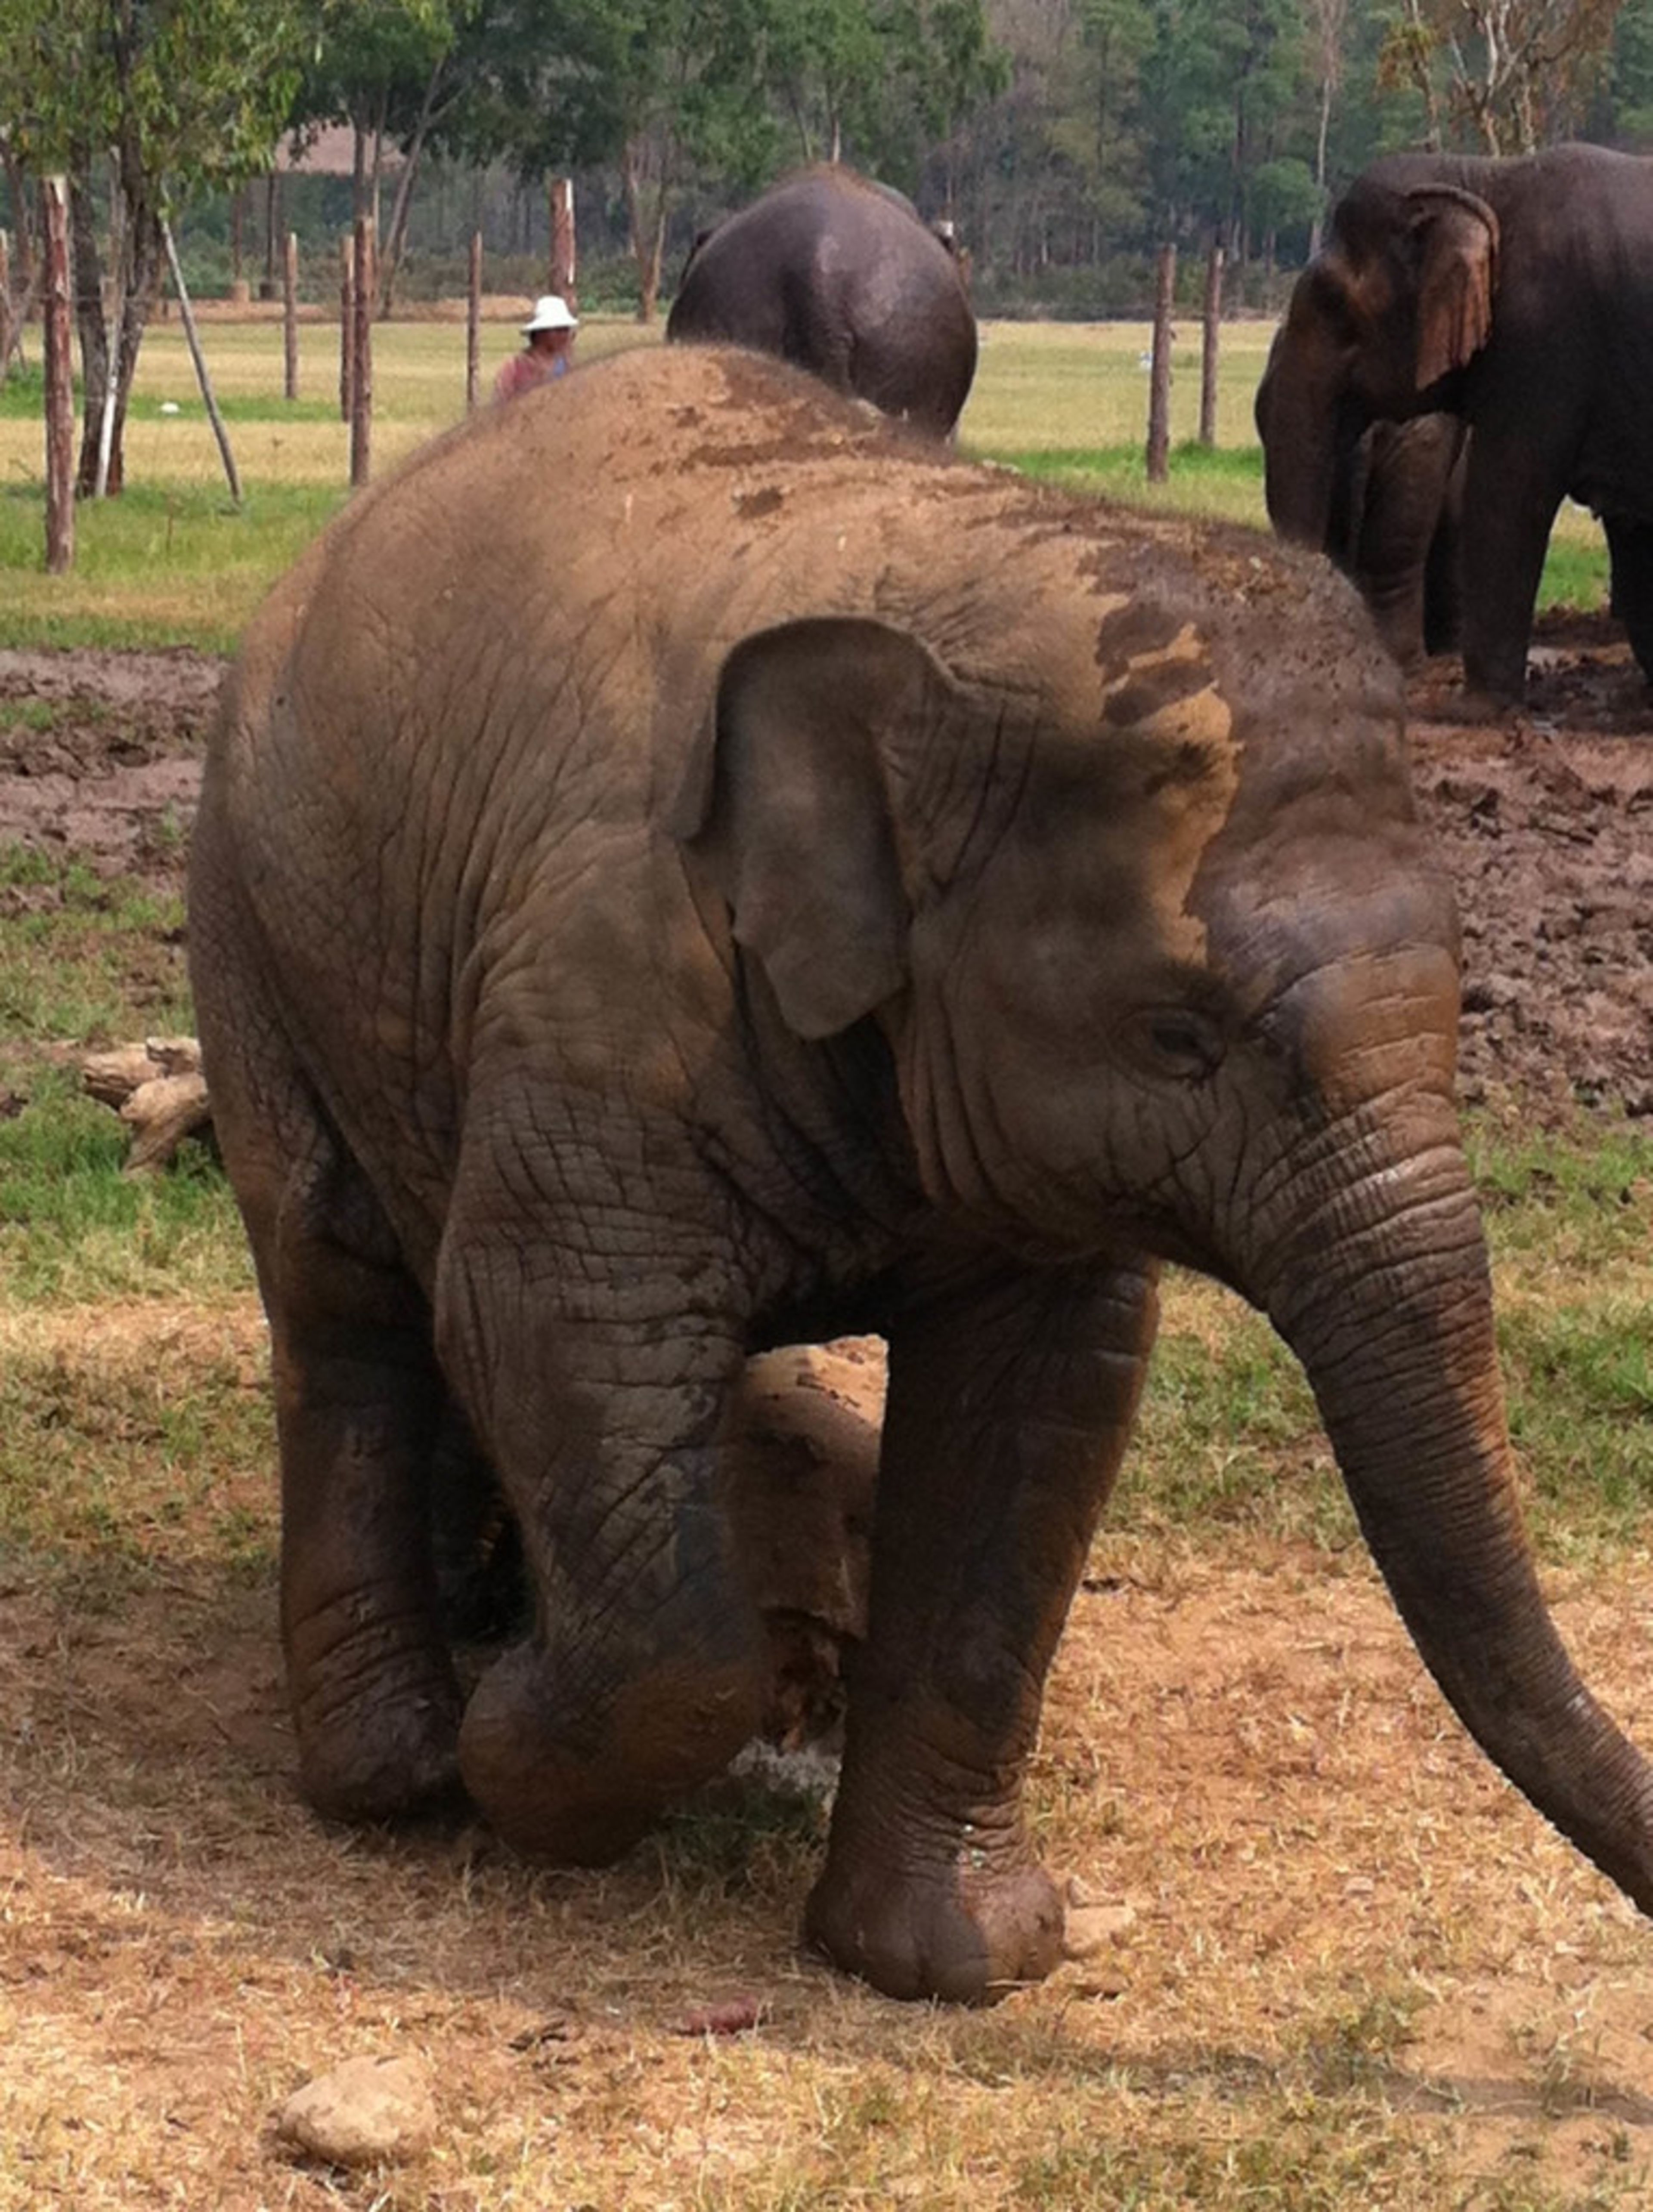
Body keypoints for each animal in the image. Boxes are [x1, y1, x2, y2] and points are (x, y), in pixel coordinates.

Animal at [188, 344, 1653, 2007]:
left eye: (1468, 991)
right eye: (1177, 1035)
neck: (960, 609)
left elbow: (1035, 1404)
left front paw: (957, 1963)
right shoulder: (602, 988)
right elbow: (542, 1319)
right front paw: (517, 1768)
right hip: (247, 913)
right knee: (343, 1284)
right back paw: (401, 1774)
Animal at [1256, 143, 1653, 702]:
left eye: (1334, 300)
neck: (1483, 179)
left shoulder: (1541, 340)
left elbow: (1507, 495)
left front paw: (1479, 707)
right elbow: (1631, 526)